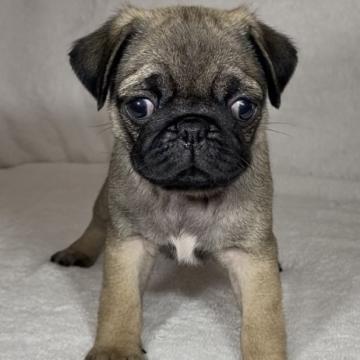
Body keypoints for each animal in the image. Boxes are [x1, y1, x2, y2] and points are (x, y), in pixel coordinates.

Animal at [51, 5, 298, 360]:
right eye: (139, 106)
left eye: (243, 107)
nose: (192, 127)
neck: (186, 197)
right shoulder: (129, 245)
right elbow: (118, 303)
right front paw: (115, 348)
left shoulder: (251, 259)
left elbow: (264, 322)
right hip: (106, 202)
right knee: (97, 222)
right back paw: (77, 250)